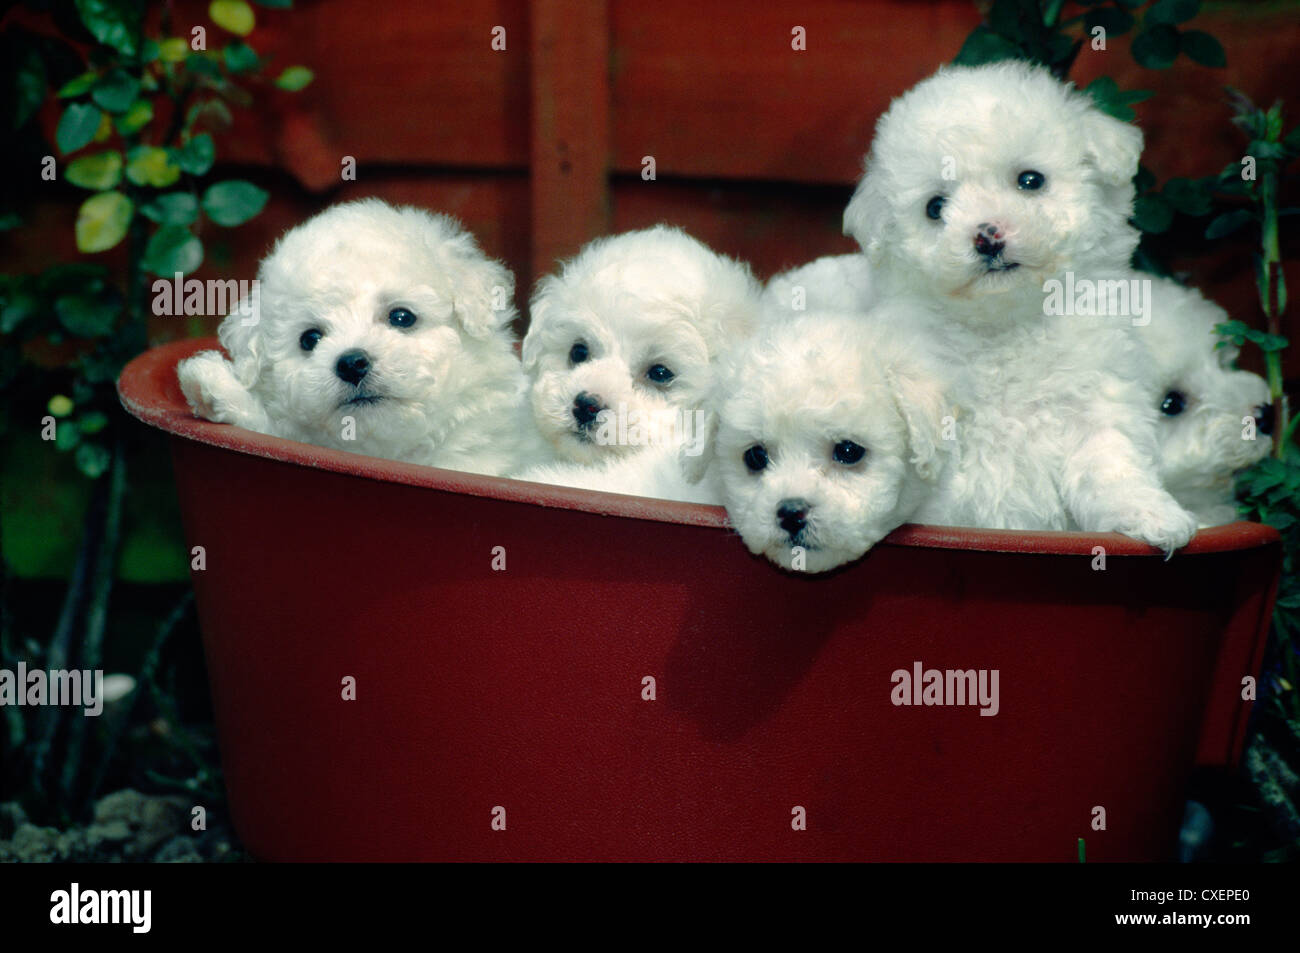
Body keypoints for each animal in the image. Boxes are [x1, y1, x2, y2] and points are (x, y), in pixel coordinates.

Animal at [842, 63, 1196, 553]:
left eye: (1030, 180)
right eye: (935, 207)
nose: (986, 236)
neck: (1006, 325)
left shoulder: (1095, 402)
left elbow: (1111, 465)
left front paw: (1150, 515)